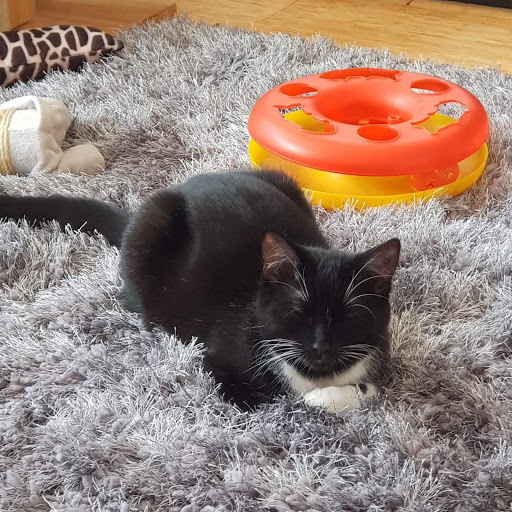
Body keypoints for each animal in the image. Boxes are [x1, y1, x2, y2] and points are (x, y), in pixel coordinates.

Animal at [0, 170, 400, 412]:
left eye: (349, 316)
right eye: (298, 312)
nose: (320, 346)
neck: (316, 374)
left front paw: (355, 392)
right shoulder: (221, 361)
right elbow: (275, 399)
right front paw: (328, 398)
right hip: (153, 228)